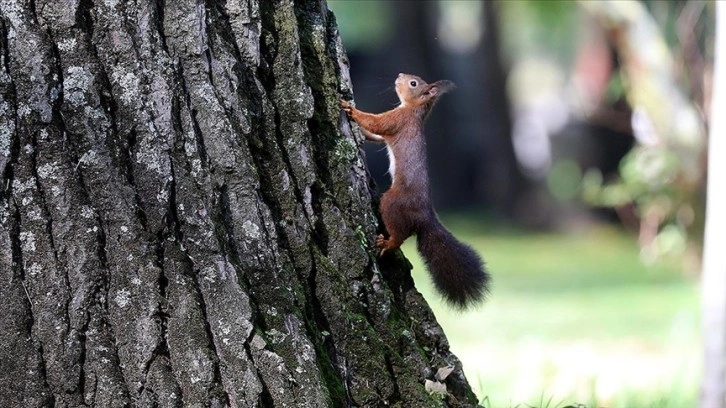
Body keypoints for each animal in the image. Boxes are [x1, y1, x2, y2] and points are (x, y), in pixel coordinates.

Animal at [342, 73, 492, 310]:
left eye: (413, 83)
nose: (399, 75)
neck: (414, 110)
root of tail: (425, 217)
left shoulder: (398, 120)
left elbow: (377, 123)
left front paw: (350, 109)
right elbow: (375, 134)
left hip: (392, 203)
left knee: (399, 236)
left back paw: (387, 243)